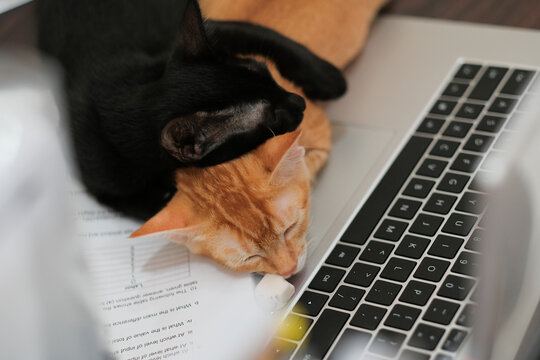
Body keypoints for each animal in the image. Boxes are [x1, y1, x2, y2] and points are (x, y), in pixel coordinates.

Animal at [38, 0, 348, 218]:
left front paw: (328, 78)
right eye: (272, 118)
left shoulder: (210, 34)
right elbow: (155, 205)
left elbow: (270, 37)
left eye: (266, 71)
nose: (300, 102)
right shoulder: (105, 184)